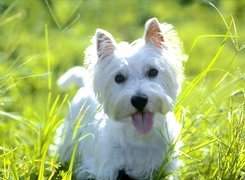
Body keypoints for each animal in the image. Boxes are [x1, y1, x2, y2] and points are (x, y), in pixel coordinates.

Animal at [57, 17, 184, 180]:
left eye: (153, 72)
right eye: (119, 78)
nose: (139, 100)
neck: (141, 138)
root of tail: (84, 85)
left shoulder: (167, 166)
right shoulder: (108, 168)